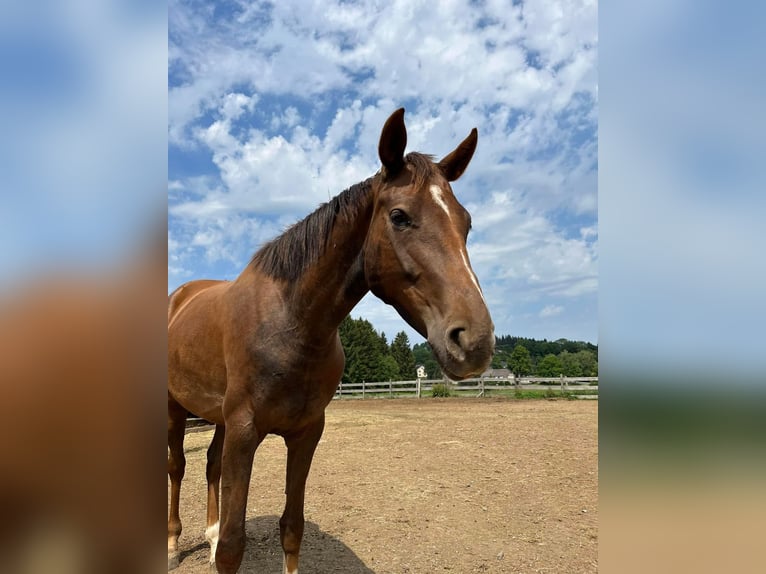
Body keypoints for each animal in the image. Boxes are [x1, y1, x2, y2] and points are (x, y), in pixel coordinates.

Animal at [166, 109, 498, 574]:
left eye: (466, 222)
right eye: (399, 216)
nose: (474, 340)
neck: (291, 325)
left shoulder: (305, 433)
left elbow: (292, 528)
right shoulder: (245, 431)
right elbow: (234, 545)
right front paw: (217, 545)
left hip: (217, 418)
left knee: (210, 465)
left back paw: (208, 535)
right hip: (176, 409)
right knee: (177, 467)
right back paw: (173, 545)